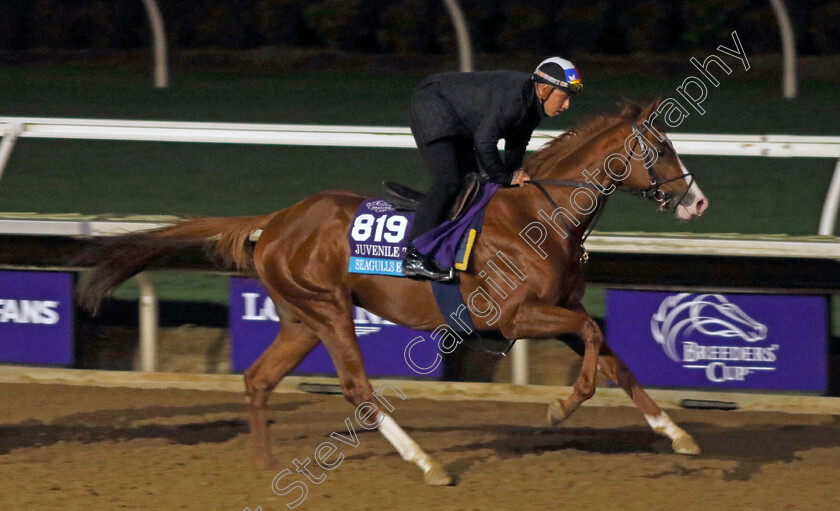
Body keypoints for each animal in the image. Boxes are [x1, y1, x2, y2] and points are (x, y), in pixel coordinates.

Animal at [79, 100, 708, 488]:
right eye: (661, 149)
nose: (697, 201)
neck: (541, 213)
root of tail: (278, 219)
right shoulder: (513, 317)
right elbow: (596, 338)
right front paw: (561, 406)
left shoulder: (562, 307)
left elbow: (614, 357)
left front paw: (677, 434)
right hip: (329, 311)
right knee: (358, 389)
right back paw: (428, 464)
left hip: (301, 320)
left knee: (258, 380)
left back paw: (263, 464)